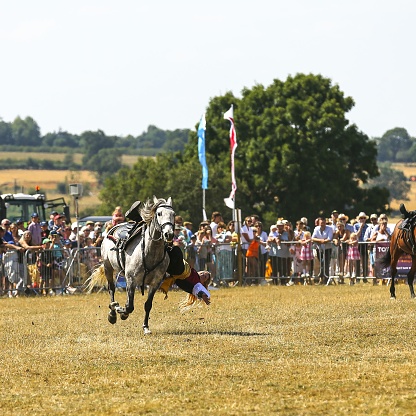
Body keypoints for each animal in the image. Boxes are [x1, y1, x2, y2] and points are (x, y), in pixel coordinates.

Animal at [88, 196, 174, 334]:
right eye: (159, 213)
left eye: (173, 214)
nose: (169, 234)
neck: (150, 251)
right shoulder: (131, 279)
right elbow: (129, 306)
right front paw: (120, 311)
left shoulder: (155, 283)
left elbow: (147, 305)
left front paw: (145, 327)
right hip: (108, 267)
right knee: (111, 289)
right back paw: (112, 314)